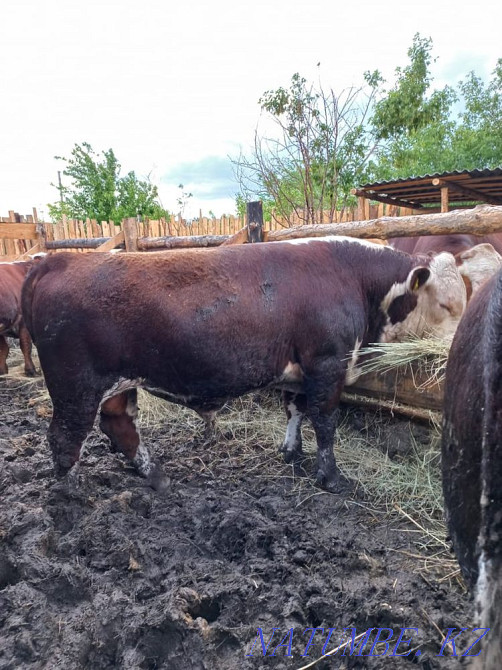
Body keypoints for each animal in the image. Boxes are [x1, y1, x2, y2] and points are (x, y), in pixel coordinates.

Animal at [21, 238, 466, 493]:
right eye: (447, 304)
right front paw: (332, 478)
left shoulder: (298, 369)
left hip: (117, 382)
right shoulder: (328, 363)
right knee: (65, 437)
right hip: (75, 386)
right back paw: (71, 493)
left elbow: (294, 409)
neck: (354, 278)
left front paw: (291, 453)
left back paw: (155, 476)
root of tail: (58, 261)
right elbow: (325, 423)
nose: (459, 351)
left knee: (118, 423)